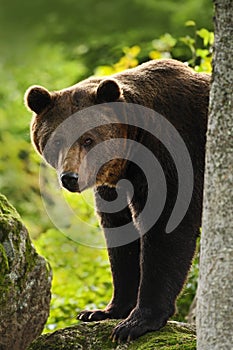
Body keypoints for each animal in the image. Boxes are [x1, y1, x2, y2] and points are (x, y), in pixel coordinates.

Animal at [24, 58, 210, 340]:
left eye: (88, 139)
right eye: (56, 141)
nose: (70, 177)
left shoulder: (176, 155)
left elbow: (166, 230)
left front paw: (136, 322)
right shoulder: (113, 188)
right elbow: (119, 235)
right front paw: (102, 311)